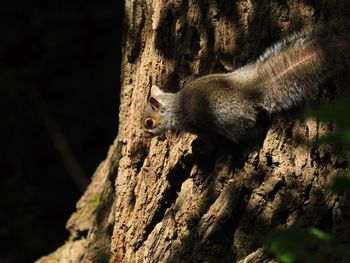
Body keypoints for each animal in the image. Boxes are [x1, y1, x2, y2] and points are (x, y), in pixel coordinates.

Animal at [142, 29, 350, 147]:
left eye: (149, 123)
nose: (144, 135)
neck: (174, 105)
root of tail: (249, 90)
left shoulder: (194, 125)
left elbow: (209, 140)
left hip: (227, 122)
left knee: (249, 133)